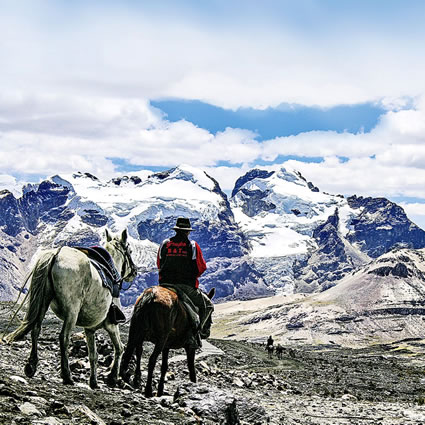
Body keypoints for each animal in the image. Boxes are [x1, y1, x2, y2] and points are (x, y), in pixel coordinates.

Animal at [5, 229, 137, 388]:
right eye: (130, 250)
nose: (135, 271)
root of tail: (56, 254)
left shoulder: (90, 329)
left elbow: (93, 355)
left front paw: (94, 382)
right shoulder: (111, 324)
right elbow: (119, 347)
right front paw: (112, 378)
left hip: (44, 301)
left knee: (36, 329)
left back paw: (31, 366)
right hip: (72, 312)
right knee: (64, 337)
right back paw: (67, 376)